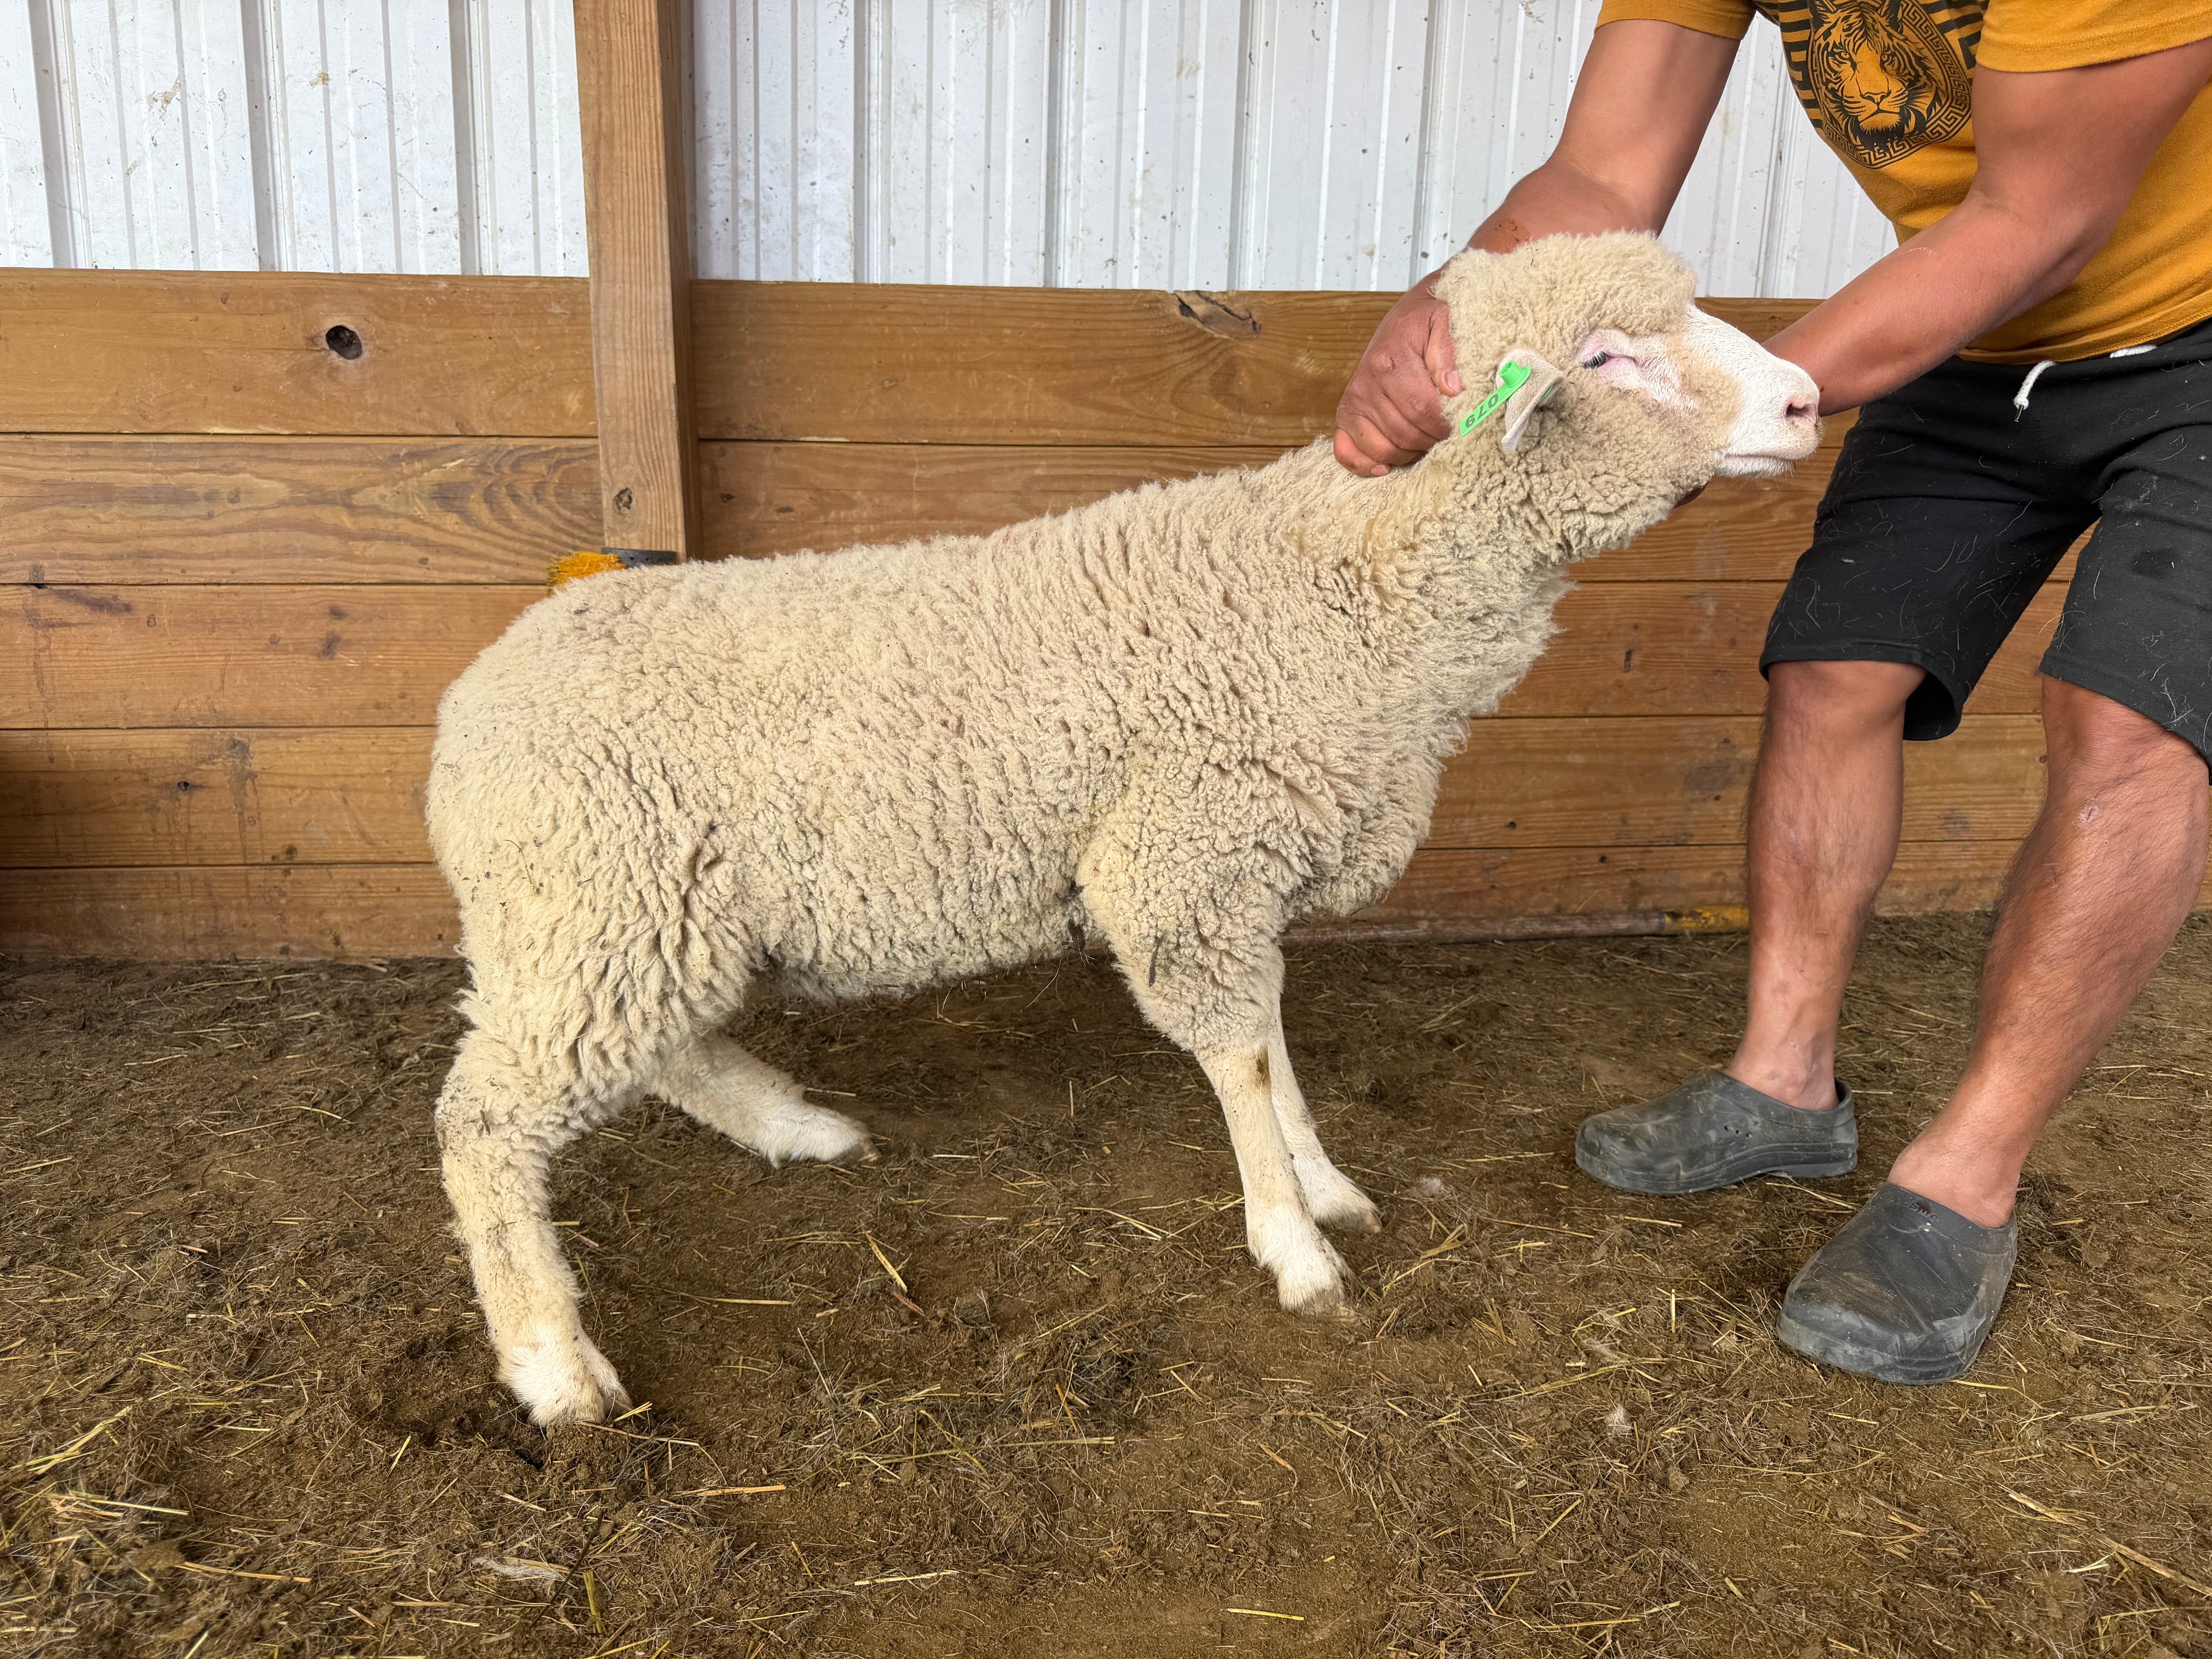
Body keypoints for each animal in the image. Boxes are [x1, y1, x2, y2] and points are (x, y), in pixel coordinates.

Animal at [428, 232, 1821, 1425]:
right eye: (1607, 358)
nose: (1810, 399)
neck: (1349, 587)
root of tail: (468, 706)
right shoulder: (1183, 857)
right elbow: (1240, 1059)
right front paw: (1292, 1246)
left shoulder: (1244, 868)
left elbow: (1271, 1038)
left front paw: (1321, 1184)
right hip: (595, 906)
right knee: (485, 1126)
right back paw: (553, 1362)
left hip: (642, 919)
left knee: (657, 1053)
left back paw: (790, 1126)